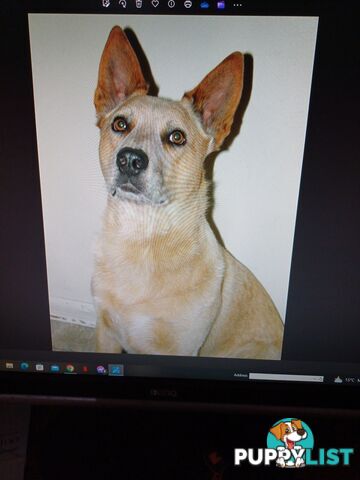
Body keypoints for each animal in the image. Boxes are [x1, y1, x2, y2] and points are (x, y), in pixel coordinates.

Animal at [92, 25, 284, 356]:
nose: (129, 160)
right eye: (120, 124)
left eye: (176, 137)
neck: (141, 240)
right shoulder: (106, 333)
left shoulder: (177, 349)